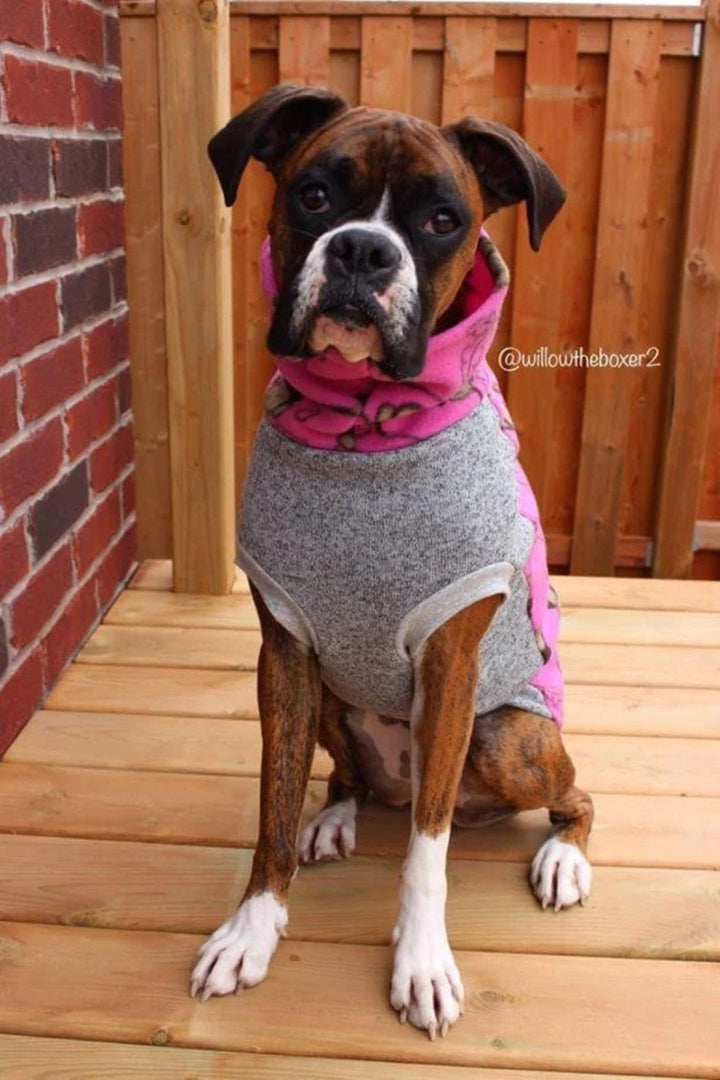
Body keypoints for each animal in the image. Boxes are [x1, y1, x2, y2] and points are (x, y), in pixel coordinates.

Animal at [188, 88, 595, 1041]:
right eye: (314, 196)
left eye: (442, 220)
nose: (363, 250)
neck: (363, 430)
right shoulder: (283, 655)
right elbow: (271, 804)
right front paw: (251, 929)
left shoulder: (450, 665)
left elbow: (425, 853)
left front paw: (422, 962)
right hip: (335, 700)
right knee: (346, 775)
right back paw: (336, 816)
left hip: (509, 735)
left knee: (563, 798)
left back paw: (562, 857)